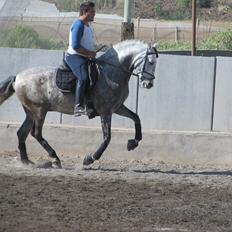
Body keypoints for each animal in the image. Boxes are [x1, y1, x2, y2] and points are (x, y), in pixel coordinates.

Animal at [0, 39, 158, 167]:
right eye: (150, 62)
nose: (148, 84)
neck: (112, 71)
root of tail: (17, 77)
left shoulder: (117, 107)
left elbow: (136, 117)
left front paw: (133, 143)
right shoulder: (105, 111)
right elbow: (107, 138)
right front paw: (90, 158)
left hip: (30, 112)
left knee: (21, 133)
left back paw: (26, 162)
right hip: (39, 111)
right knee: (36, 133)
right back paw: (55, 159)